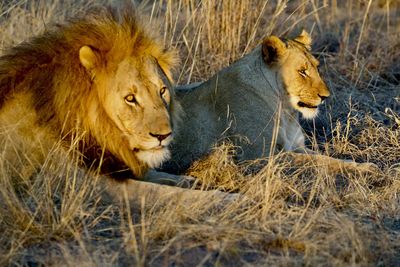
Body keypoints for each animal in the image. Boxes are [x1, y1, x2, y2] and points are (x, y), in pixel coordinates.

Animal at [0, 5, 225, 203]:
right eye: (130, 98)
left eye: (162, 91)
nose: (163, 136)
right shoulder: (80, 182)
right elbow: (164, 193)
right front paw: (221, 199)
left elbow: (161, 176)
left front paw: (193, 181)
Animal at [165, 30, 376, 175]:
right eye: (302, 71)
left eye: (317, 67)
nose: (325, 96)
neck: (286, 110)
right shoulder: (258, 157)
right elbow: (316, 162)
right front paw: (368, 168)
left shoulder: (297, 146)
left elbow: (326, 157)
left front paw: (362, 165)